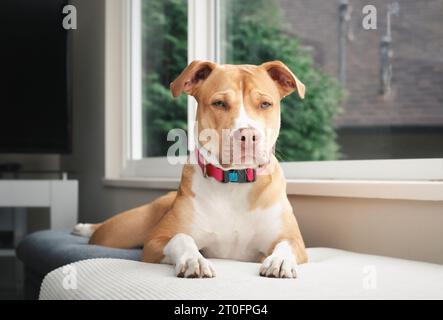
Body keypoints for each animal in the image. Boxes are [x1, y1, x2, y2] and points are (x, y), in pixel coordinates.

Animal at [73, 59, 308, 278]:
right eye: (219, 103)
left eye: (266, 104)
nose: (248, 135)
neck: (234, 180)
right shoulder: (155, 241)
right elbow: (181, 237)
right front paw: (194, 260)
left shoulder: (295, 241)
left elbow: (285, 245)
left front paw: (280, 261)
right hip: (121, 231)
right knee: (100, 232)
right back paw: (83, 227)